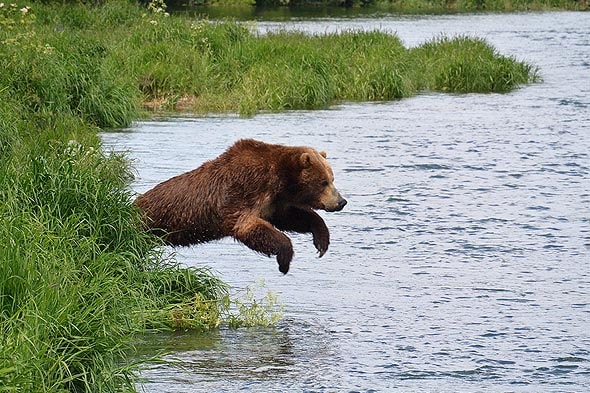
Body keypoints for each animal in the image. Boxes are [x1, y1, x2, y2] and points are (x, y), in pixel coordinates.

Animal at [135, 139, 346, 274]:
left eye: (332, 178)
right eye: (323, 182)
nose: (341, 202)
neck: (277, 181)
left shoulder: (273, 203)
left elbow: (292, 217)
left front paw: (321, 241)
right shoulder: (243, 192)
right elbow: (248, 227)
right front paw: (284, 261)